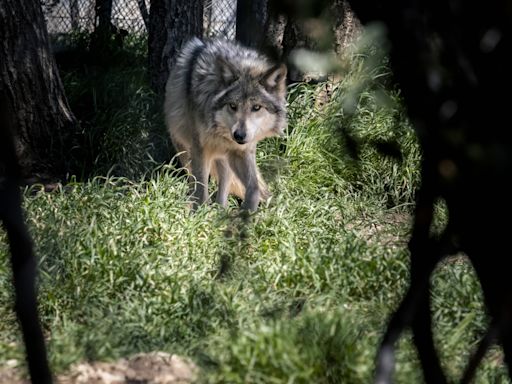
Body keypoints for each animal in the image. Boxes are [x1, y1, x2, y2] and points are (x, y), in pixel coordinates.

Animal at [165, 38, 288, 212]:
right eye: (233, 106)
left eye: (256, 107)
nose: (239, 135)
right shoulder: (200, 150)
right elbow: (201, 189)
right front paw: (200, 214)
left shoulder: (242, 151)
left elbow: (254, 188)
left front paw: (247, 213)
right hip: (184, 148)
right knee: (192, 180)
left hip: (226, 159)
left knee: (224, 185)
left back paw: (221, 210)